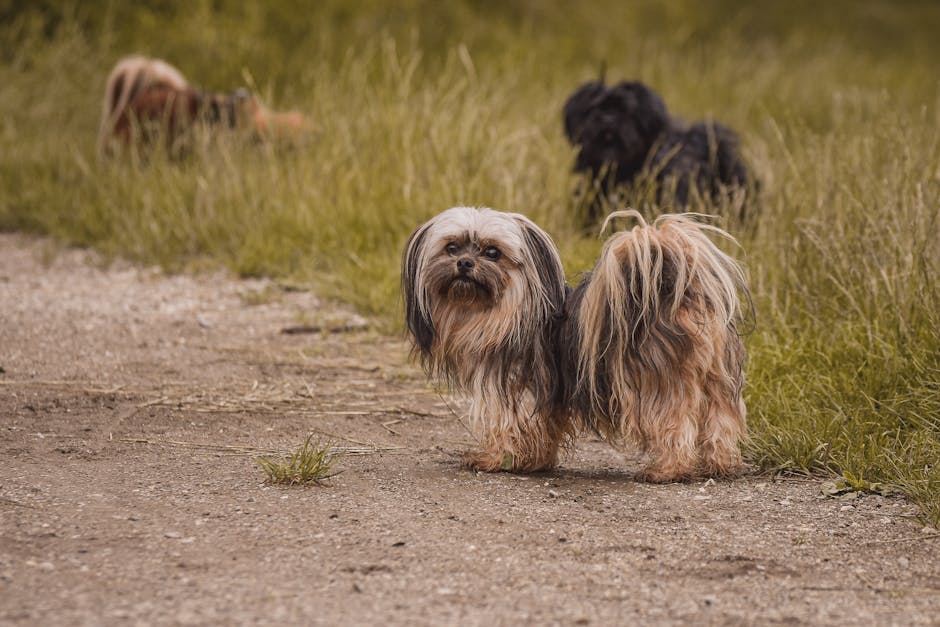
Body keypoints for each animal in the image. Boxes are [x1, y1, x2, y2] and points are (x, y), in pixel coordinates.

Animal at [404, 206, 748, 480]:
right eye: (451, 247)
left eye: (492, 252)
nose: (464, 263)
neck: (508, 310)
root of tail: (673, 289)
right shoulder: (547, 396)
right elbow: (543, 429)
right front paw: (535, 462)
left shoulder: (509, 389)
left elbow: (506, 426)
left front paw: (493, 460)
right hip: (717, 379)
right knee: (720, 421)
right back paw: (719, 465)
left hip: (657, 381)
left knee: (675, 424)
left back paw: (667, 469)